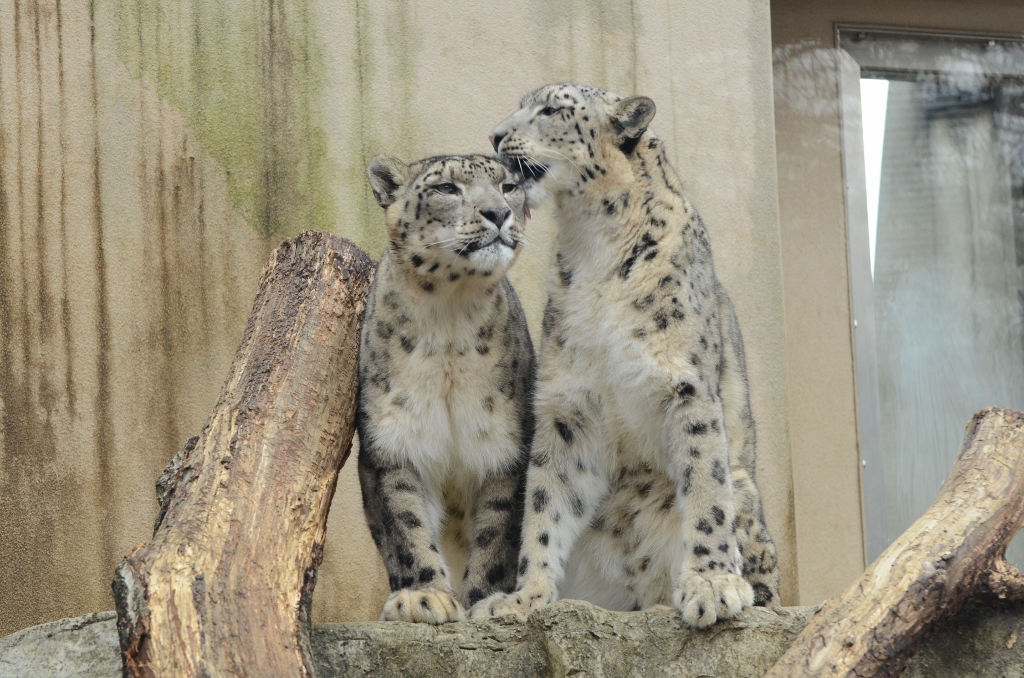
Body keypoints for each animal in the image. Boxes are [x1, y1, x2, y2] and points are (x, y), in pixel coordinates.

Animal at [358, 153, 536, 626]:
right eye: (446, 189)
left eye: (509, 186)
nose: (498, 212)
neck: (450, 318)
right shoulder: (394, 440)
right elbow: (406, 523)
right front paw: (424, 597)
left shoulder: (503, 445)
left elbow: (496, 532)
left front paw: (484, 600)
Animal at [473, 85, 782, 630]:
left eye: (550, 110)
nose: (494, 135)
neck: (592, 241)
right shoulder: (568, 405)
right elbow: (545, 500)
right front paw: (523, 596)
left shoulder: (687, 387)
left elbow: (705, 487)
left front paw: (711, 585)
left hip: (747, 489)